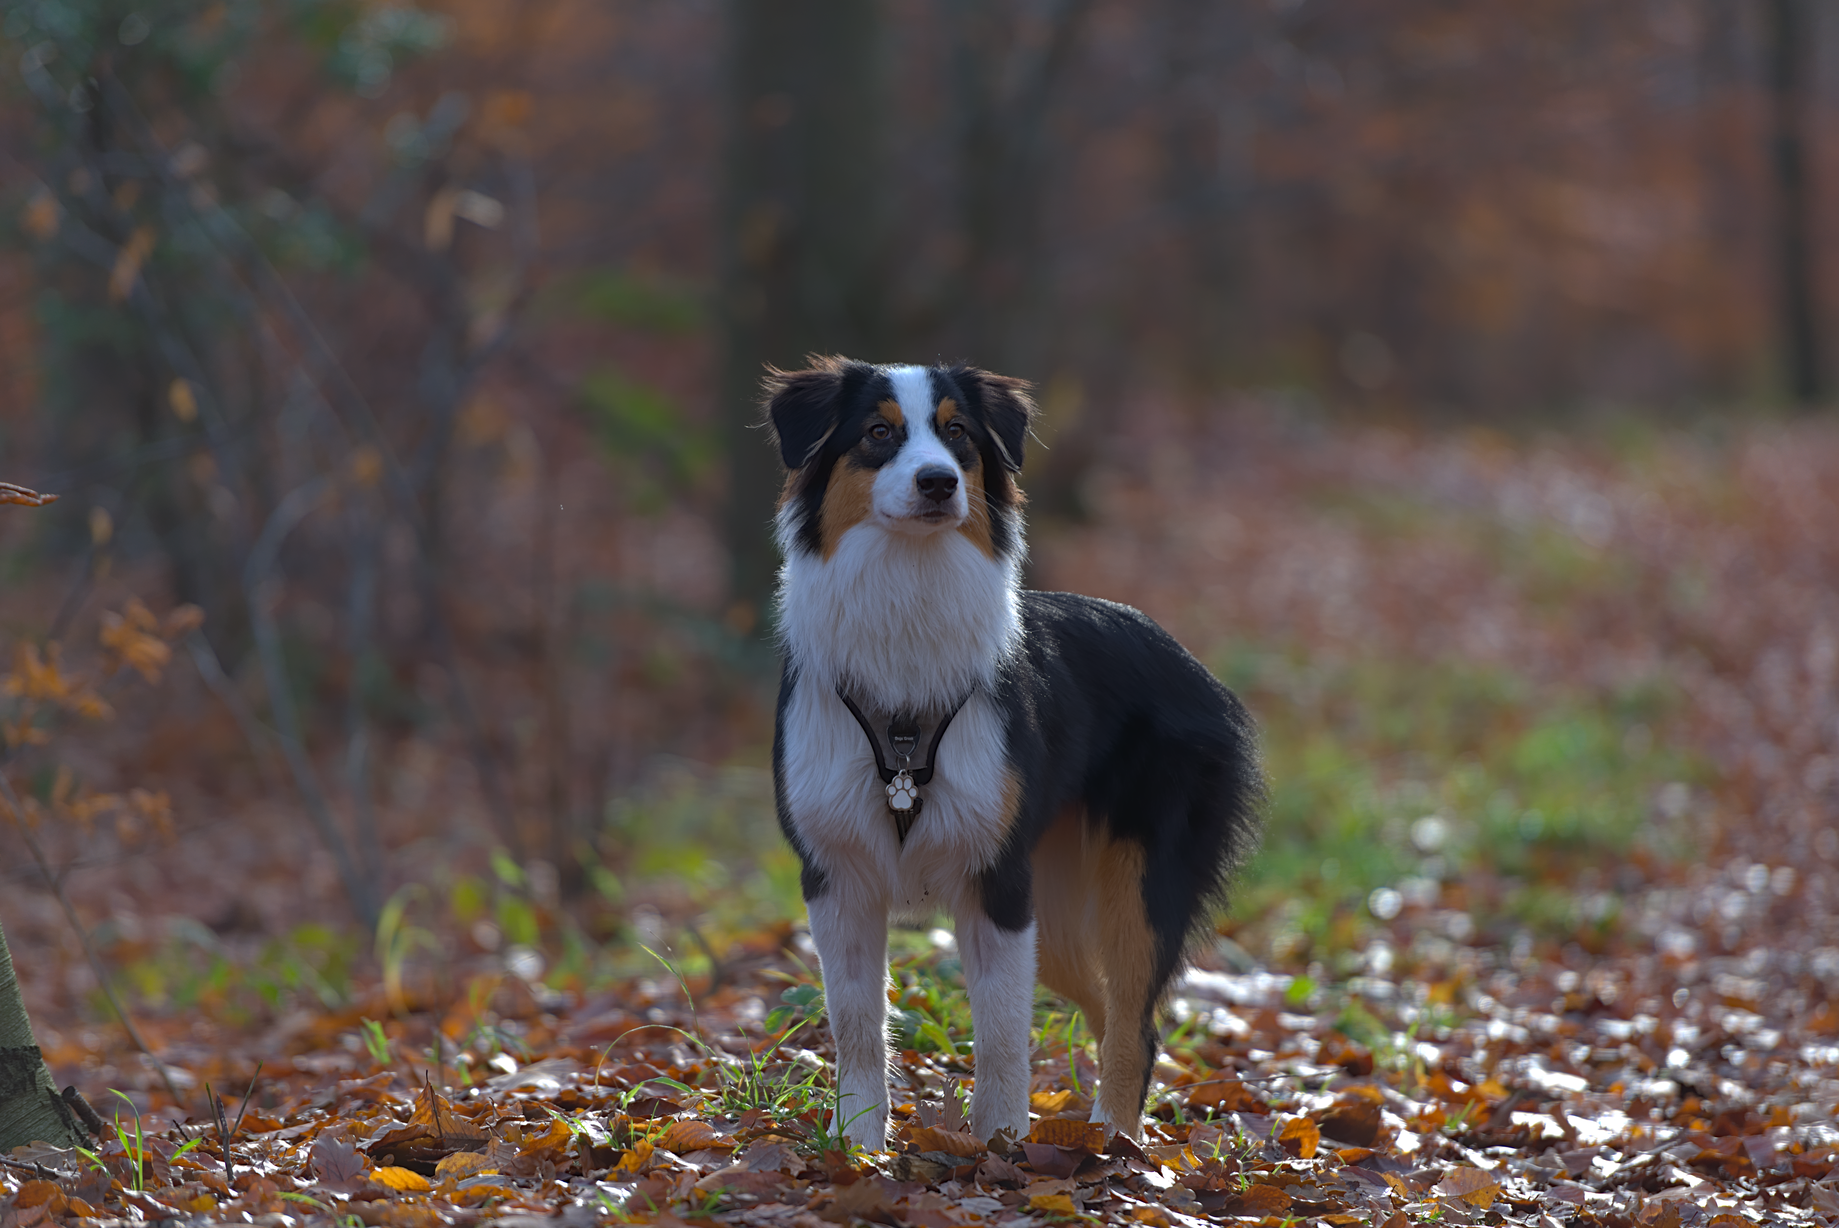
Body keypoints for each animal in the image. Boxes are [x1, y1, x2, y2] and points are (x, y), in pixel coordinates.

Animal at [761, 356, 1265, 1154]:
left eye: (958, 434)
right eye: (877, 433)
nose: (939, 481)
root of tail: (1190, 663)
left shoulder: (995, 881)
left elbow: (999, 1034)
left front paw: (999, 1144)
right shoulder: (836, 876)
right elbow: (857, 1028)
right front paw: (857, 1151)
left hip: (1135, 885)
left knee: (1134, 1024)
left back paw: (1116, 1149)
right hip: (1053, 911)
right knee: (1111, 1012)